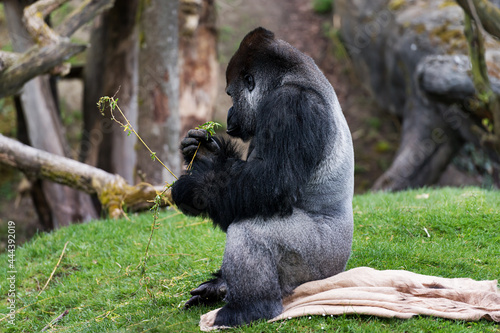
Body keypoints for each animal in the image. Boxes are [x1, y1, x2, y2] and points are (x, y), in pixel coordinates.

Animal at [173, 26, 356, 326]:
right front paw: (207, 155)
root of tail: (341, 270)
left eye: (230, 94)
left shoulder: (291, 104)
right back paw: (220, 287)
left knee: (252, 231)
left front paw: (195, 188)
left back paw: (247, 309)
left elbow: (269, 186)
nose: (229, 112)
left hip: (321, 267)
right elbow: (241, 192)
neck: (290, 76)